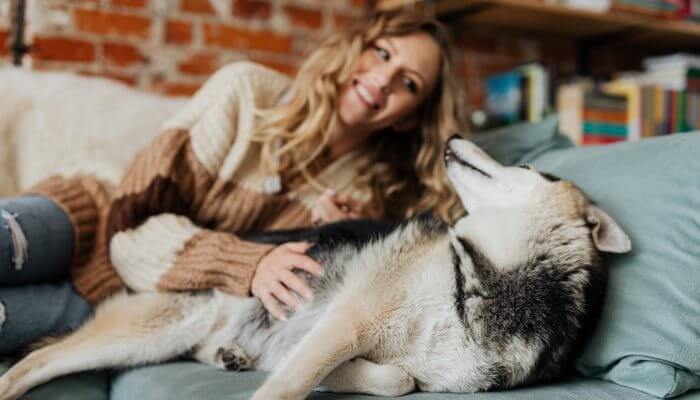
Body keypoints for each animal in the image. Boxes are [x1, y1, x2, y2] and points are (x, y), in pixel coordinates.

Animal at [0, 136, 628, 398]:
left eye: (529, 167)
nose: (453, 135)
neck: (475, 278)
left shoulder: (385, 351)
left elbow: (398, 379)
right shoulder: (349, 320)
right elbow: (291, 383)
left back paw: (230, 356)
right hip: (152, 330)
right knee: (36, 363)